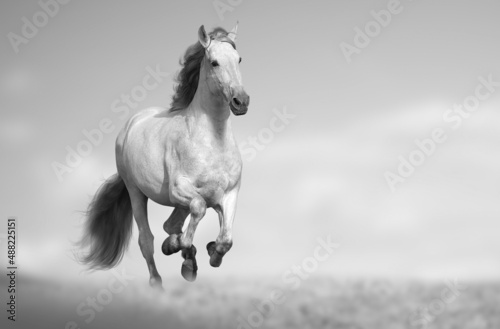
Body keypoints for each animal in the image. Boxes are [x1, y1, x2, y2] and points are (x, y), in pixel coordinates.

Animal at [79, 23, 249, 288]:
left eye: (238, 59)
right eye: (214, 62)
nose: (241, 101)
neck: (212, 142)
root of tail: (133, 122)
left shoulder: (229, 194)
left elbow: (225, 240)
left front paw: (211, 252)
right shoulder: (180, 189)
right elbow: (198, 210)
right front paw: (176, 246)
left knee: (171, 224)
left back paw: (188, 261)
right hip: (136, 191)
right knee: (146, 238)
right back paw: (159, 279)